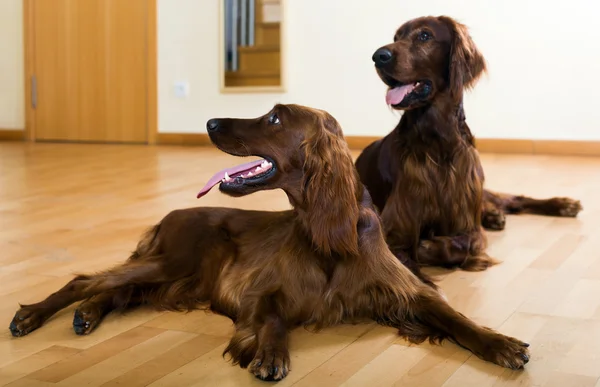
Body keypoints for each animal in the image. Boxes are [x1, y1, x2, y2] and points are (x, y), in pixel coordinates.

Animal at [7, 104, 528, 382]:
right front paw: (270, 353)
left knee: (115, 289)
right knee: (86, 280)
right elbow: (274, 317)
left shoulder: (405, 291)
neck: (329, 238)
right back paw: (33, 315)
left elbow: (455, 317)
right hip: (173, 264)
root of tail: (171, 214)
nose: (210, 121)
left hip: (174, 275)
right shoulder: (262, 291)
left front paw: (500, 343)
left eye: (275, 118)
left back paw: (87, 315)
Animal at [356, 15, 580, 286]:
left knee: (514, 199)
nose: (379, 56)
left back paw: (562, 205)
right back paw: (496, 216)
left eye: (424, 36)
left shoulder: (469, 221)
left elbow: (464, 243)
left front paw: (429, 246)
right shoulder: (393, 228)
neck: (438, 141)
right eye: (396, 37)